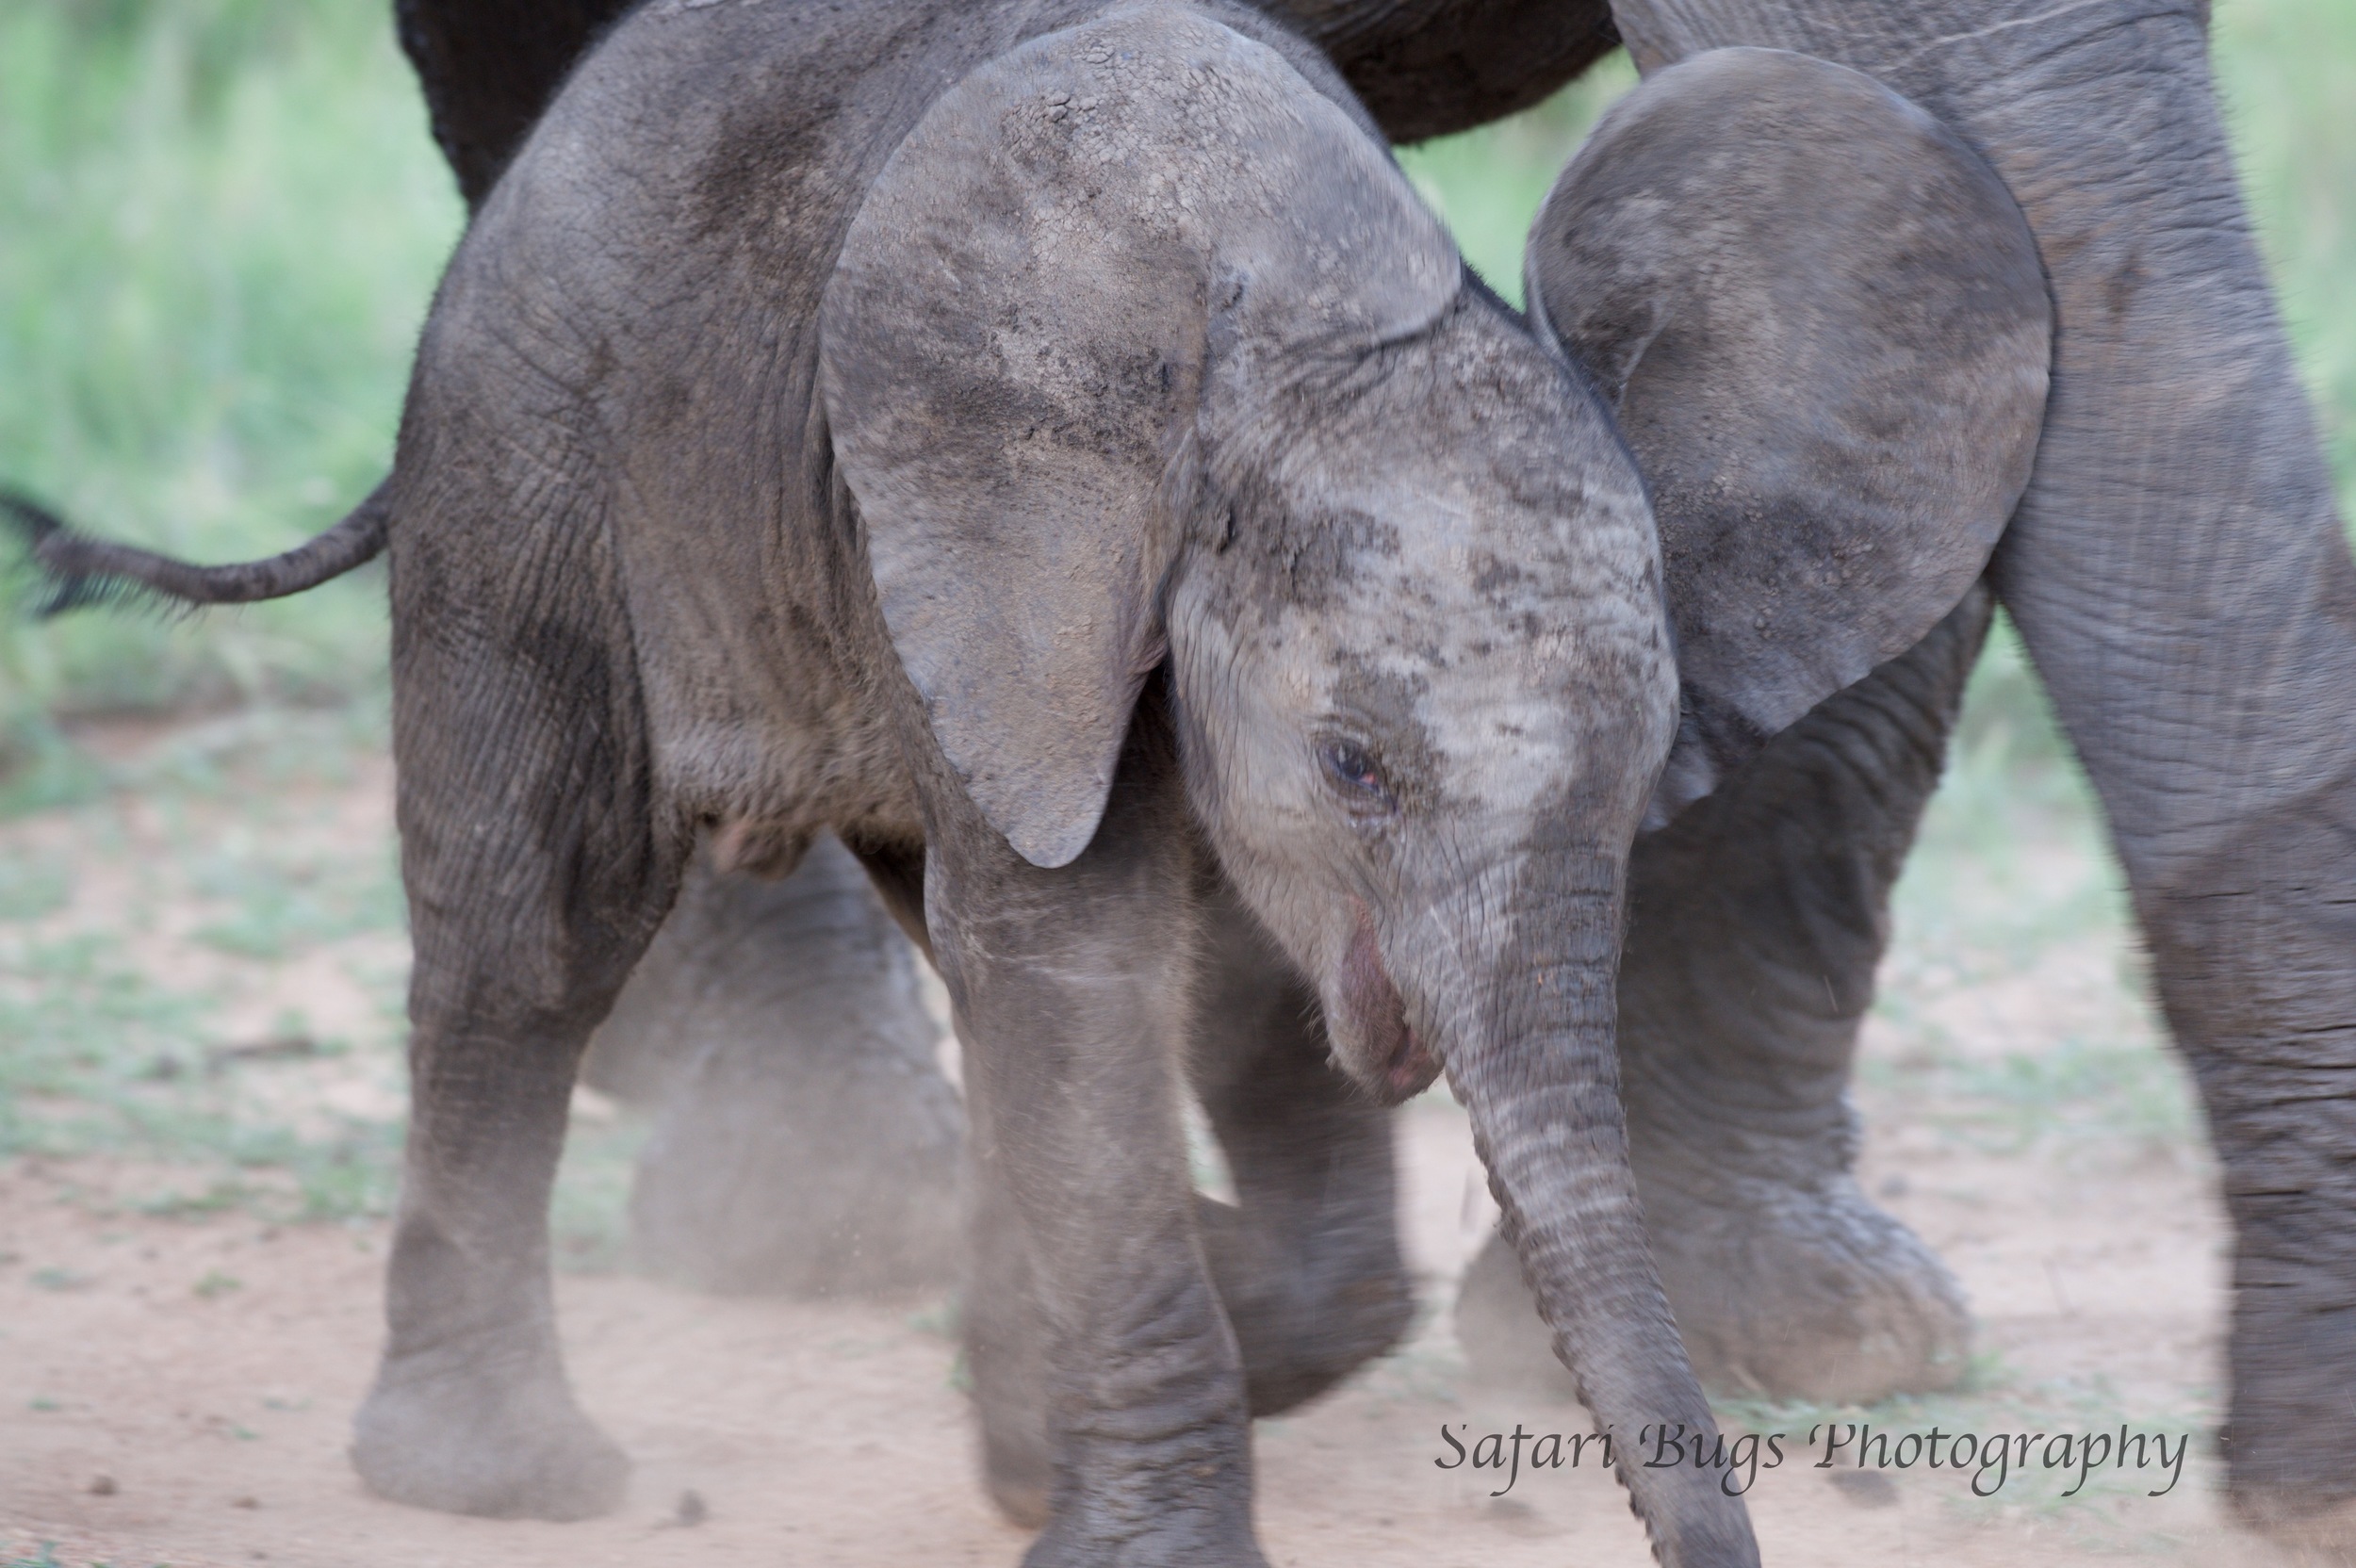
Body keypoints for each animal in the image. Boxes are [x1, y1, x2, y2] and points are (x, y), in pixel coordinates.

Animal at [13, 6, 2045, 1554]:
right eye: (1354, 764)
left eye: (1639, 781)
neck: (1313, 324)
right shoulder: (1042, 571)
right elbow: (1088, 977)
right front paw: (1125, 1497)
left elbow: (1228, 995)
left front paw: (1072, 1380)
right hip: (533, 466)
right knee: (536, 932)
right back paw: (502, 1478)